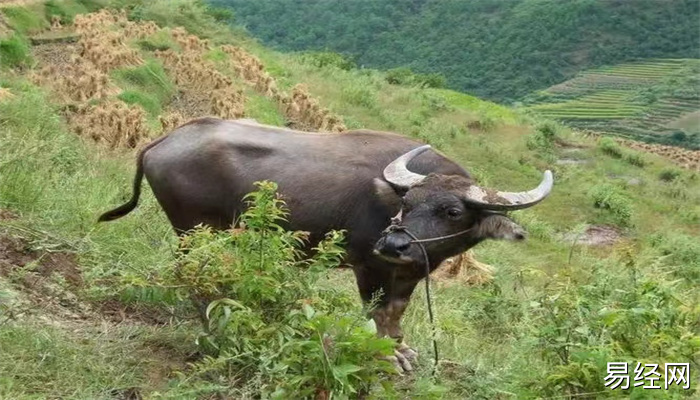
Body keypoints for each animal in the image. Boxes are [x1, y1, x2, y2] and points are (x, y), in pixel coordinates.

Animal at [98, 116, 556, 372]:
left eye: (453, 211)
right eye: (407, 202)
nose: (393, 243)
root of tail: (164, 140)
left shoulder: (409, 270)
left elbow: (397, 310)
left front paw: (403, 348)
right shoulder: (369, 266)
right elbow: (377, 311)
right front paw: (387, 355)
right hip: (194, 231)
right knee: (192, 273)